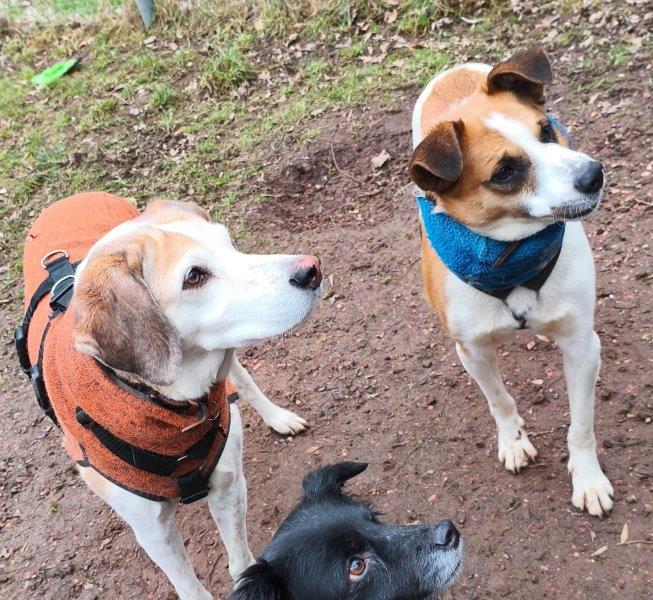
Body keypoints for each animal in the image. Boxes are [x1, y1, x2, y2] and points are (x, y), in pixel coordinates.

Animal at [17, 192, 322, 599]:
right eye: (193, 276)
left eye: (229, 243)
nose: (312, 269)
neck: (175, 410)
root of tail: (73, 197)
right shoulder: (153, 530)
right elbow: (190, 588)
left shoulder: (229, 485)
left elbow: (241, 563)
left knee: (242, 379)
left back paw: (277, 416)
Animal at [409, 48, 613, 516]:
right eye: (505, 171)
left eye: (546, 129)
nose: (593, 174)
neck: (511, 258)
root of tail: (455, 71)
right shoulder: (472, 350)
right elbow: (499, 400)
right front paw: (514, 440)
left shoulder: (581, 345)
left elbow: (581, 425)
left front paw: (588, 478)